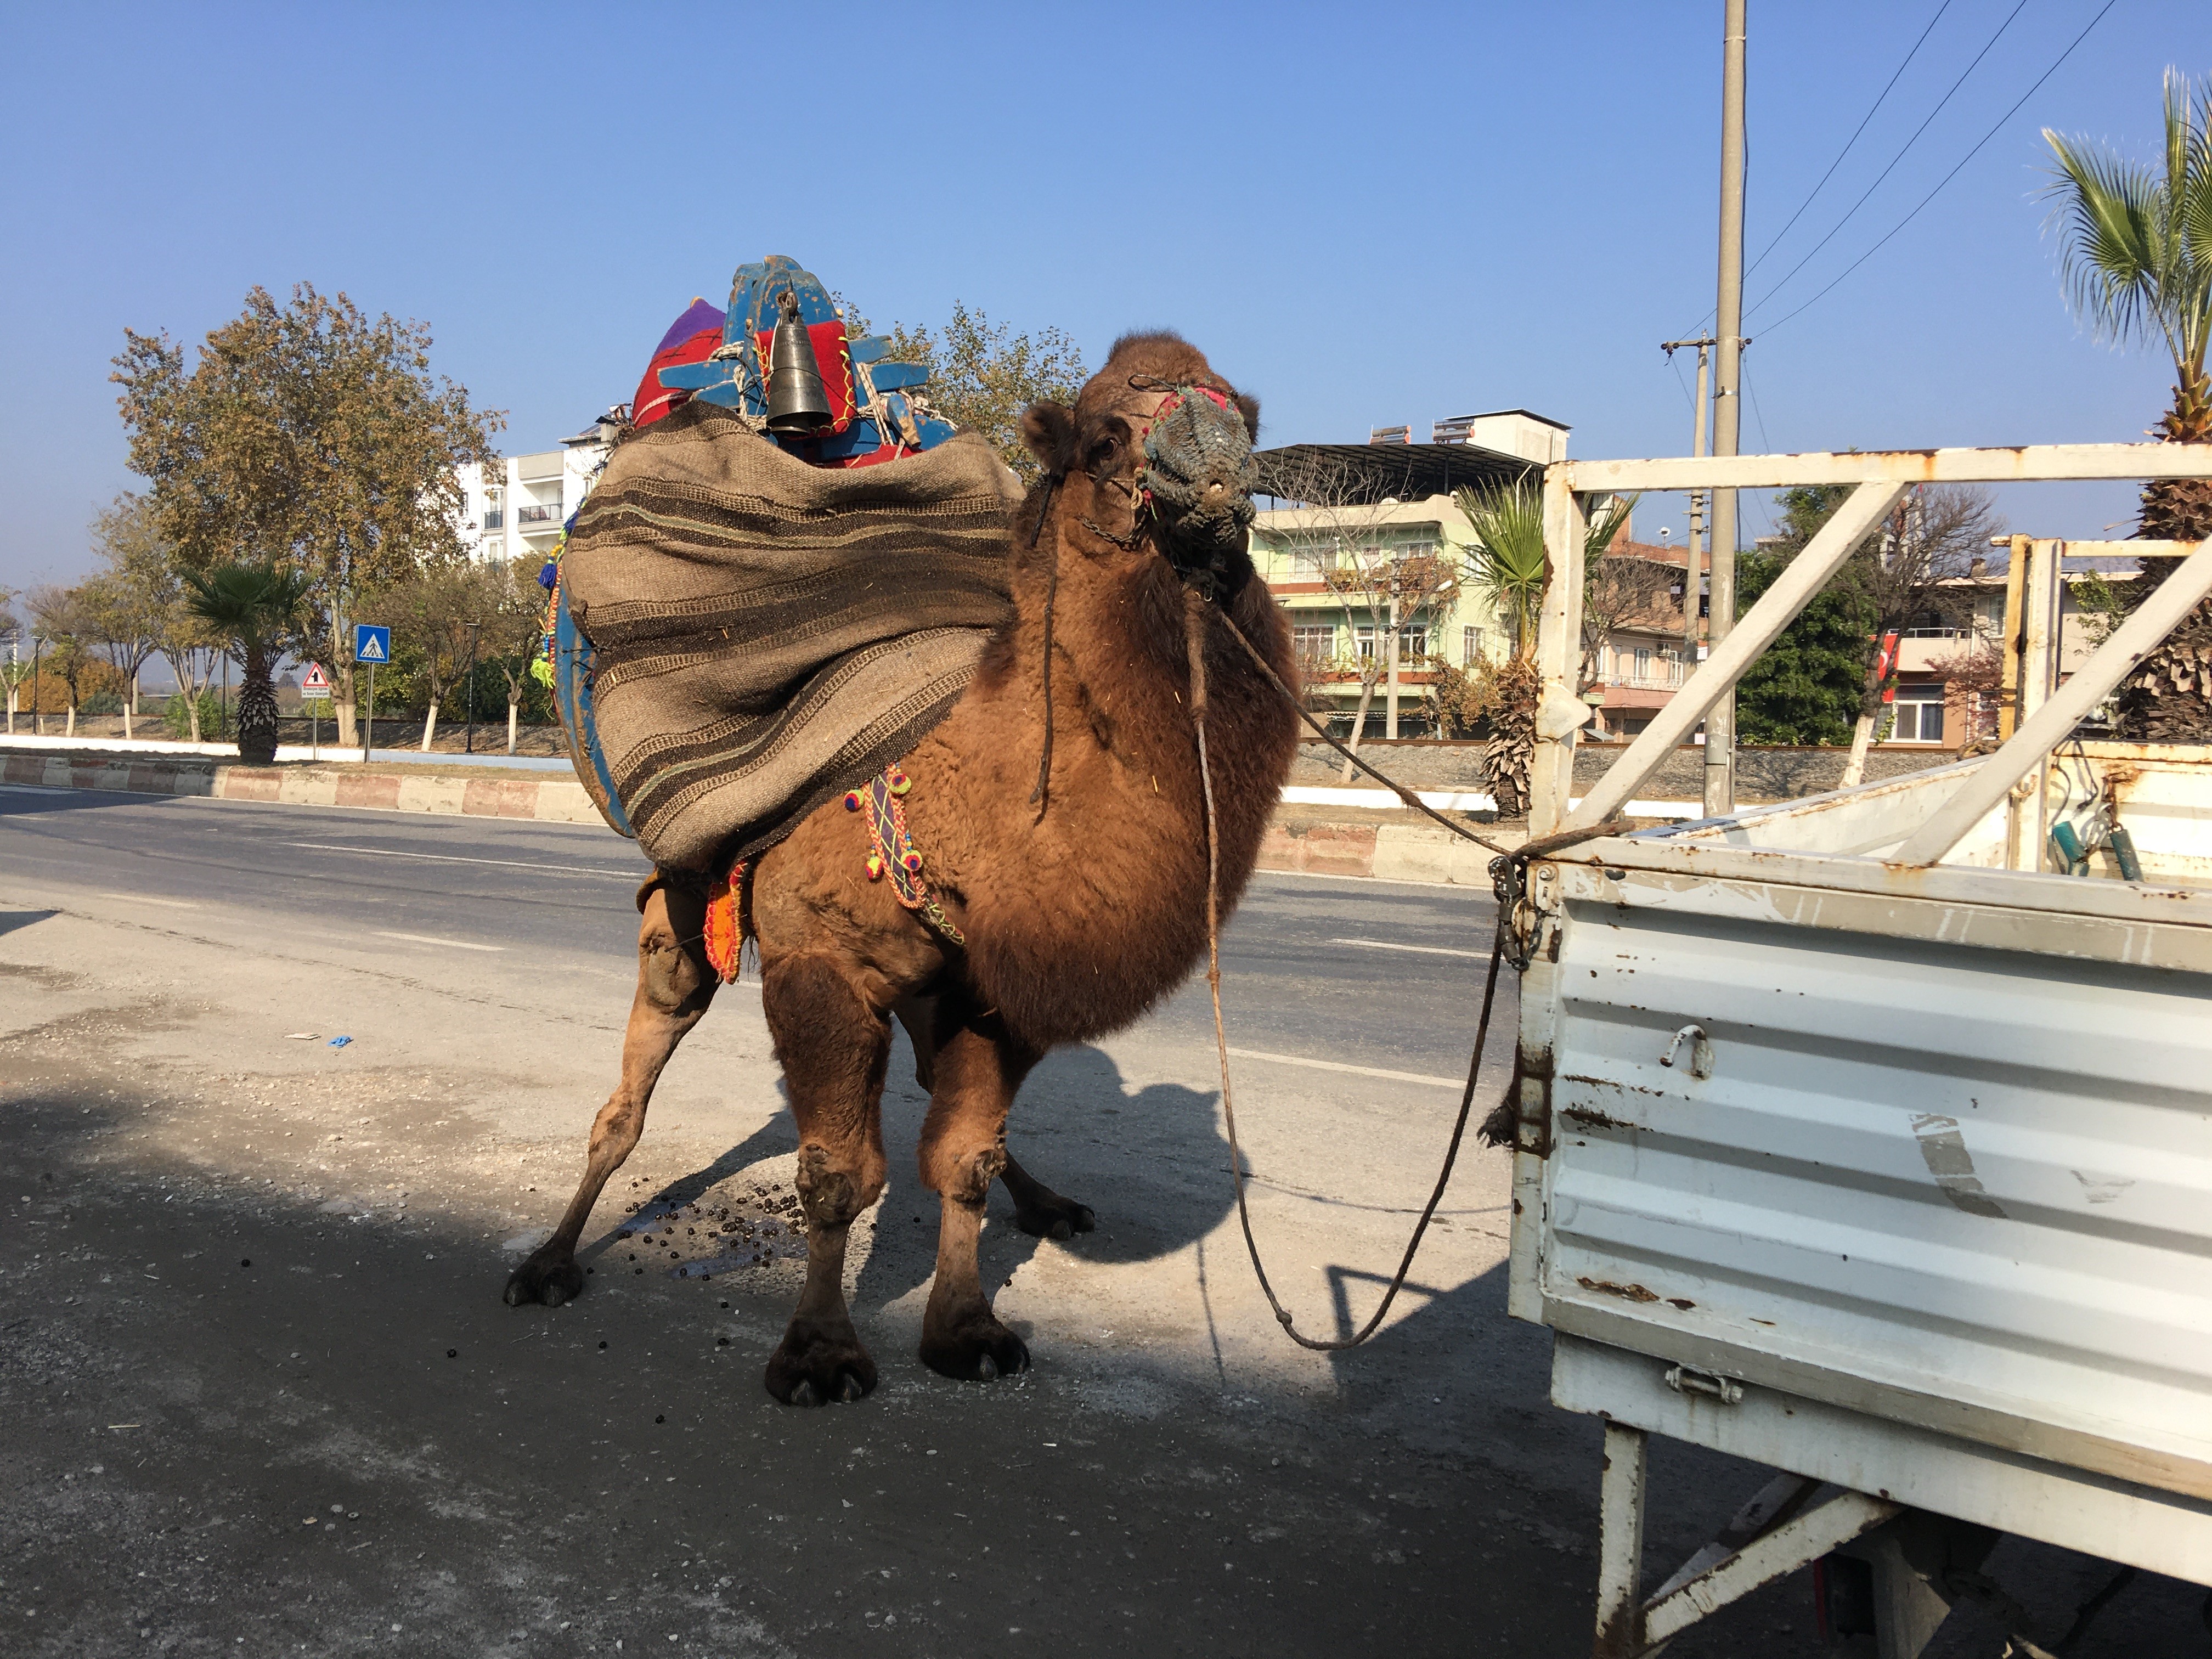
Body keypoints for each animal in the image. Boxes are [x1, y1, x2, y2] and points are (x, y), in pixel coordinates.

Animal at [506, 338, 1291, 1407]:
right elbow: (839, 1173)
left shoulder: (991, 987)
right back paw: (548, 1261)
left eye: (1244, 414)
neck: (958, 791)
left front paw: (968, 1330)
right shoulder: (819, 964)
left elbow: (962, 1158)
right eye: (1104, 437)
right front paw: (819, 1353)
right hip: (685, 909)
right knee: (632, 1080)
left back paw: (1049, 1202)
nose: (1218, 466)